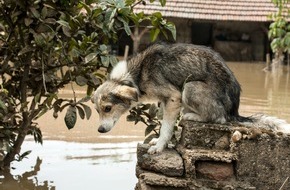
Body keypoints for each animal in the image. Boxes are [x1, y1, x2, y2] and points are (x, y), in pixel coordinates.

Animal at [91, 42, 290, 154]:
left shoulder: (173, 97)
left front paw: (159, 146)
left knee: (219, 118)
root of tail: (234, 111)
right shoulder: (165, 101)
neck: (135, 76)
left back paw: (192, 116)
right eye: (98, 110)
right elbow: (166, 124)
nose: (100, 130)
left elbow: (166, 127)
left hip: (190, 87)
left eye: (108, 108)